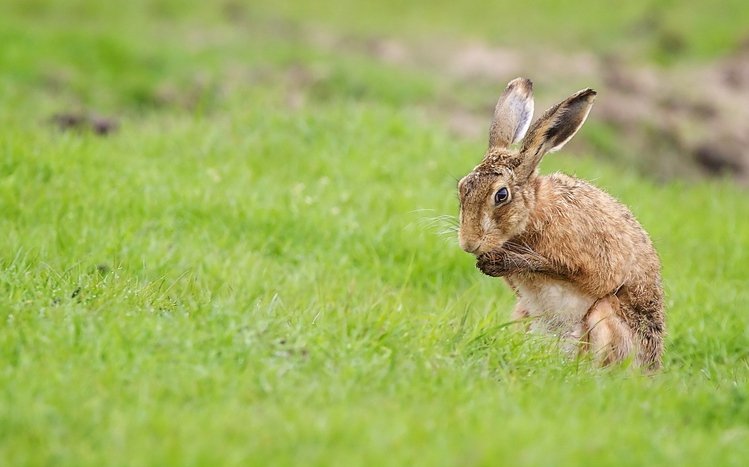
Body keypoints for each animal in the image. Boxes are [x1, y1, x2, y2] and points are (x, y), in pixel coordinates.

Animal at [457, 77, 665, 370]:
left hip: (604, 314)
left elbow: (558, 267)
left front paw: (501, 261)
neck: (535, 211)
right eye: (462, 187)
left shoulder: (588, 259)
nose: (468, 243)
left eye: (501, 195)